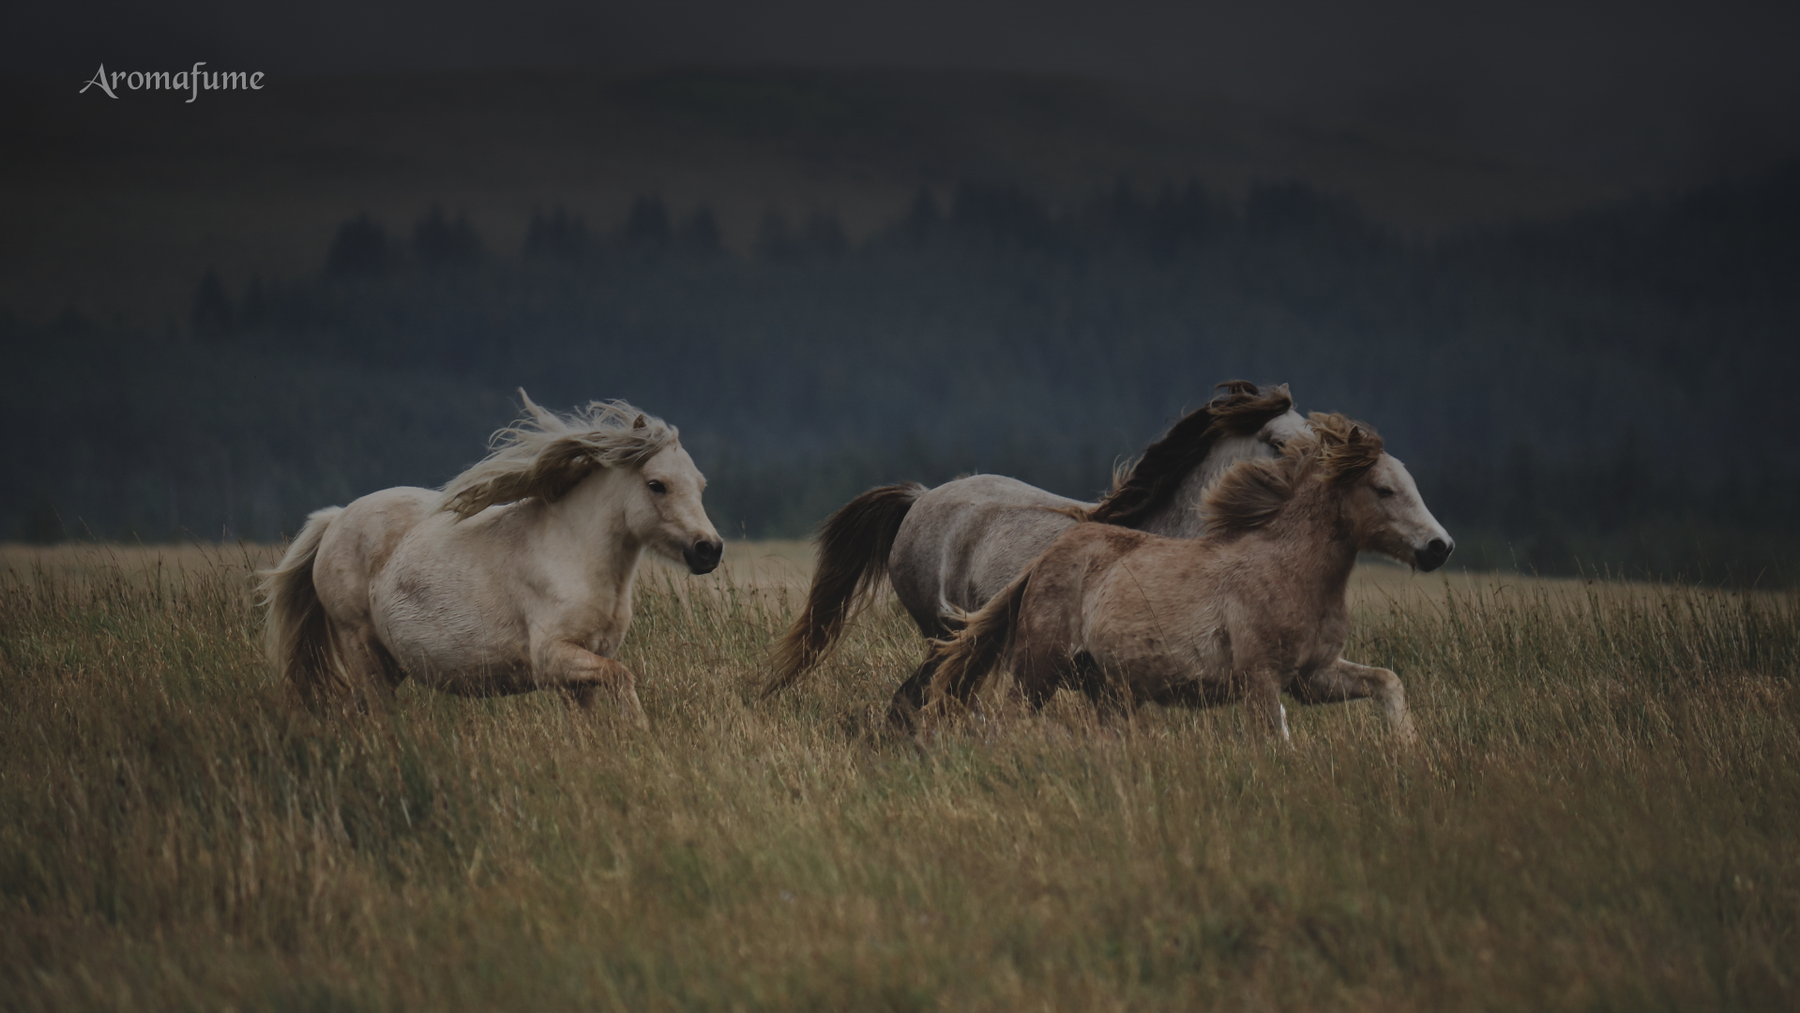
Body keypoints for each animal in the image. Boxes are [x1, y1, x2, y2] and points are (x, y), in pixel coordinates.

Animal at [259, 393, 724, 726]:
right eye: (656, 484)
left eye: (701, 484)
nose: (709, 549)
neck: (574, 556)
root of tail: (335, 519)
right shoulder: (553, 658)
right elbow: (624, 676)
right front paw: (641, 733)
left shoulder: (578, 674)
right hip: (363, 649)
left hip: (387, 664)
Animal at [927, 413, 1452, 743]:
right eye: (1383, 489)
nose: (1439, 547)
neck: (1289, 570)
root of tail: (1042, 560)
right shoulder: (1261, 679)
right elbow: (1275, 741)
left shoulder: (1313, 677)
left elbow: (1388, 682)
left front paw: (1409, 750)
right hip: (1038, 668)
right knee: (1008, 718)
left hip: (1108, 688)